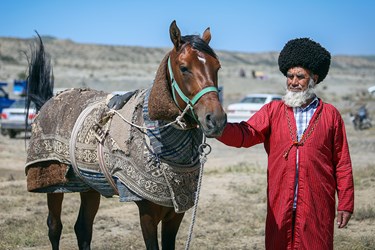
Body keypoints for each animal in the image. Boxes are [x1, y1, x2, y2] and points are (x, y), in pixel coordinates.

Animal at [25, 20, 226, 249]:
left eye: (217, 67)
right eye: (184, 68)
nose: (216, 120)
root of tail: (49, 101)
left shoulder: (176, 213)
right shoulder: (147, 211)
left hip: (90, 187)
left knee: (83, 228)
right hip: (51, 183)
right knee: (54, 227)